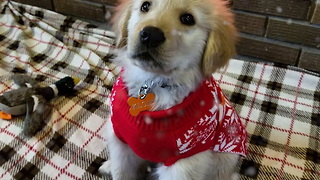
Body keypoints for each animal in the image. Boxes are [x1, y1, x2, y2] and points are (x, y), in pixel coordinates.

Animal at [100, 0, 248, 179]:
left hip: (225, 156)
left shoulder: (185, 162)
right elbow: (121, 171)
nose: (150, 35)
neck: (153, 84)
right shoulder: (120, 141)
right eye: (145, 6)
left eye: (188, 19)